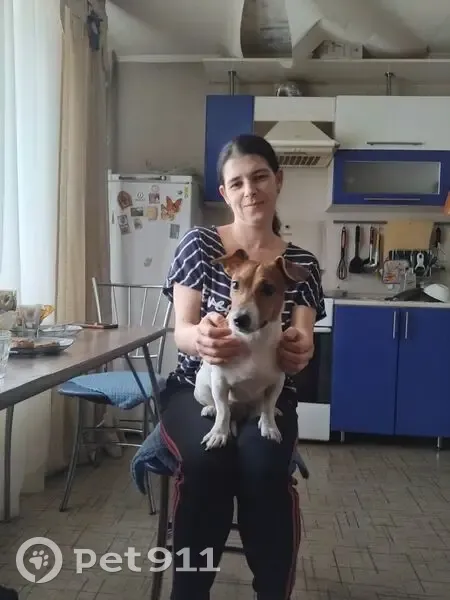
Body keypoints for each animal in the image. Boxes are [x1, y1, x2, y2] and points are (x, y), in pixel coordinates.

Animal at [194, 248, 309, 450]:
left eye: (268, 289)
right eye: (235, 284)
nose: (239, 319)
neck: (253, 341)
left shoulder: (275, 383)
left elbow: (268, 407)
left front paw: (269, 427)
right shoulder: (220, 383)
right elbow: (223, 411)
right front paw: (218, 433)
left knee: (262, 408)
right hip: (202, 386)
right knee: (217, 405)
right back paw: (210, 409)